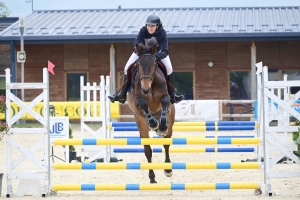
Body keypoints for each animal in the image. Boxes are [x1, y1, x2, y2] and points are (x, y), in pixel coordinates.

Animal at [127, 37, 176, 183]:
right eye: (138, 65)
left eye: (154, 64)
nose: (145, 88)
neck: (152, 85)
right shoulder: (138, 102)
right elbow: (143, 103)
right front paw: (154, 123)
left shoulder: (166, 97)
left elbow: (165, 101)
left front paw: (161, 125)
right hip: (141, 124)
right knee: (148, 150)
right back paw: (152, 178)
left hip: (171, 120)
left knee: (166, 143)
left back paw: (168, 170)